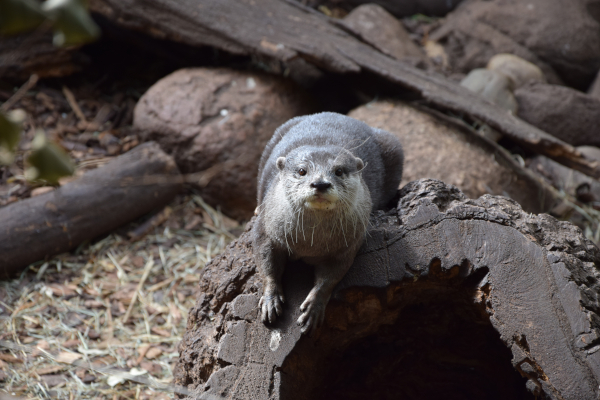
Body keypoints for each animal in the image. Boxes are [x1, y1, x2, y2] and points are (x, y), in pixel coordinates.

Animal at [253, 112, 404, 334]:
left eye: (339, 171)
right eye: (302, 171)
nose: (320, 183)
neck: (309, 243)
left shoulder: (348, 244)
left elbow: (332, 276)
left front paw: (314, 306)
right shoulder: (265, 227)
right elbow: (266, 263)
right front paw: (270, 300)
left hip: (394, 146)